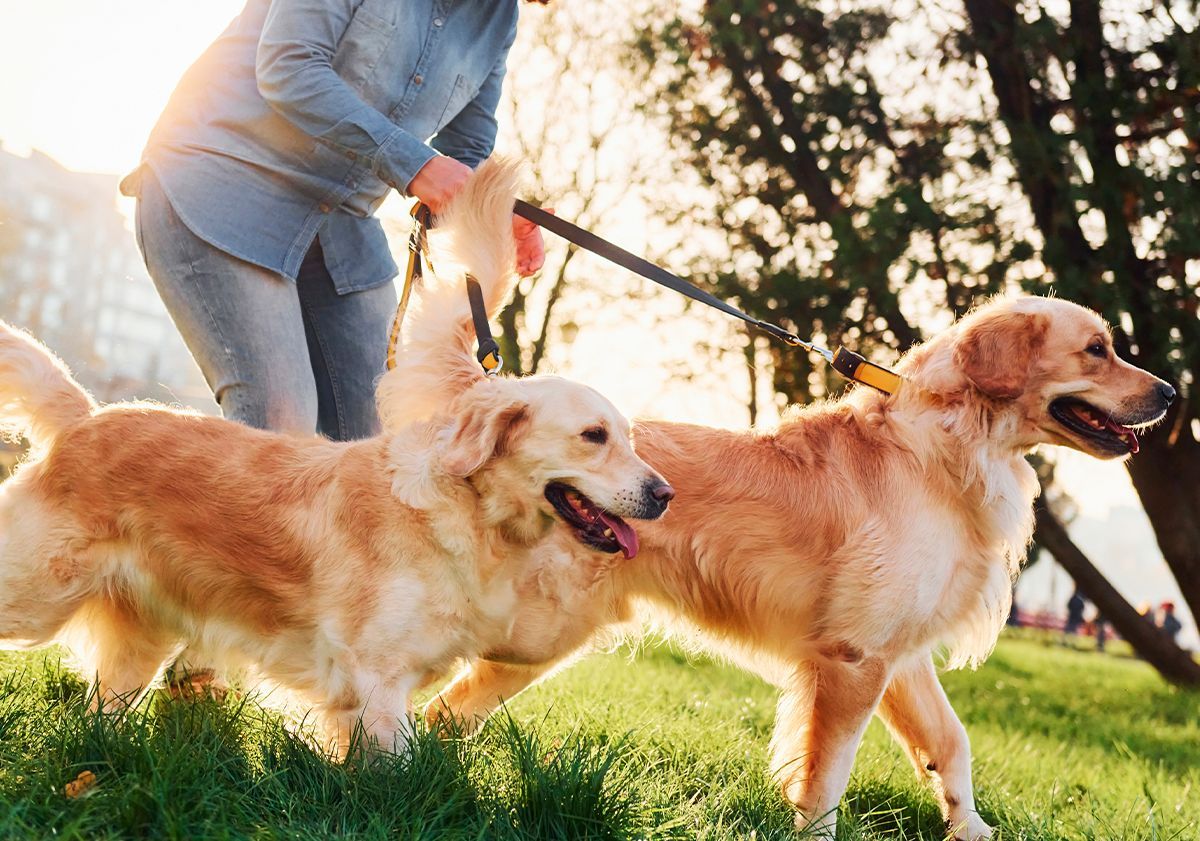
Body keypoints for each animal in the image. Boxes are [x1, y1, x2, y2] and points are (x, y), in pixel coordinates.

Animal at [0, 159, 676, 753]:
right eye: (594, 435)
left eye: (629, 438)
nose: (665, 495)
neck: (462, 516)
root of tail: (87, 417)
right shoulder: (377, 673)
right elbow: (403, 772)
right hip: (36, 595)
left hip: (139, 638)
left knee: (102, 712)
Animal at [429, 293, 1171, 835]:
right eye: (1098, 349)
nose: (1169, 392)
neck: (951, 447)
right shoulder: (853, 658)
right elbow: (829, 775)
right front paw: (819, 832)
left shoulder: (897, 655)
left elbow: (951, 741)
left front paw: (972, 828)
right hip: (538, 630)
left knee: (447, 711)